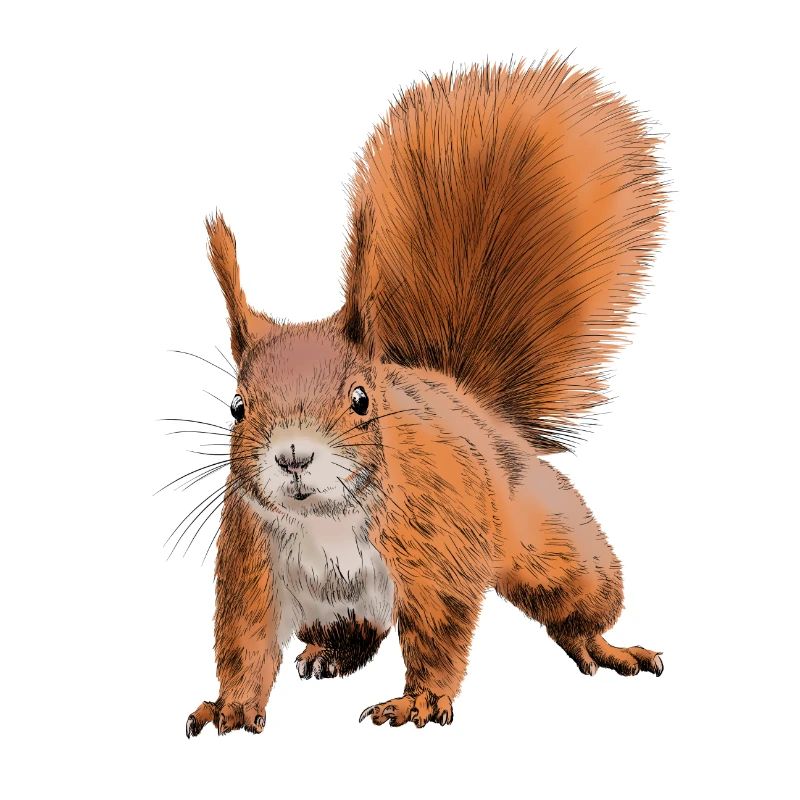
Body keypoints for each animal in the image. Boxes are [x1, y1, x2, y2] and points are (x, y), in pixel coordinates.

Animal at [183, 56, 665, 737]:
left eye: (361, 399)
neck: (325, 520)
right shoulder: (251, 559)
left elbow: (439, 628)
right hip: (334, 607)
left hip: (548, 537)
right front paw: (230, 706)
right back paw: (328, 653)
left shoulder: (438, 541)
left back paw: (604, 644)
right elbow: (244, 640)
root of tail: (465, 396)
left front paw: (418, 703)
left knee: (575, 596)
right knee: (359, 632)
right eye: (237, 406)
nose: (294, 456)